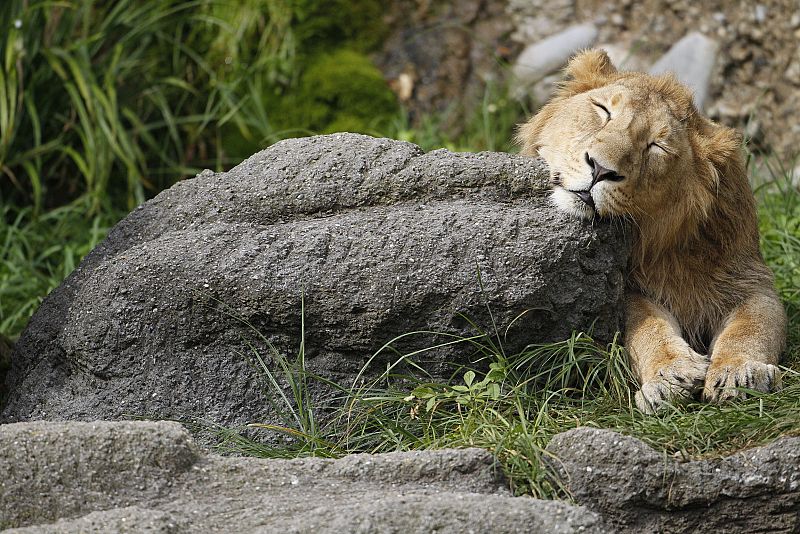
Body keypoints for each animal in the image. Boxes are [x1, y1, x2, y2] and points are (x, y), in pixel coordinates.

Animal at [520, 49, 788, 414]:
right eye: (602, 110)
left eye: (656, 146)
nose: (600, 169)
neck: (657, 241)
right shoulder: (624, 291)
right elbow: (647, 325)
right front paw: (670, 376)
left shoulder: (749, 280)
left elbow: (752, 326)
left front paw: (741, 373)